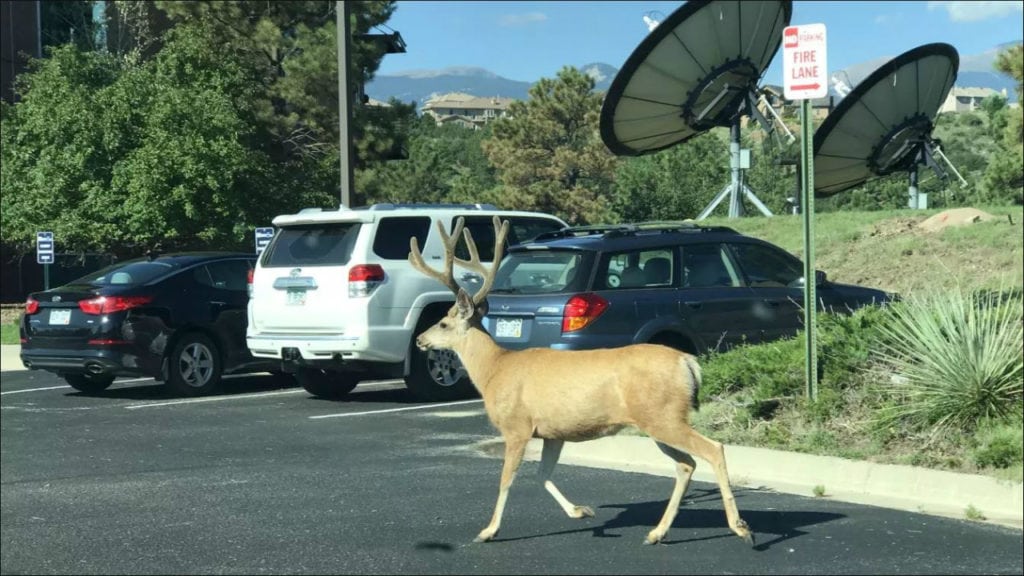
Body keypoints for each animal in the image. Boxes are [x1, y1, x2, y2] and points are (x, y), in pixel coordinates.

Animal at [405, 214, 753, 541]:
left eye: (444, 323)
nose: (420, 339)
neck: (494, 369)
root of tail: (688, 361)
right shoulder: (552, 431)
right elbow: (542, 474)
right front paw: (581, 511)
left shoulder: (517, 426)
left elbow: (506, 479)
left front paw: (489, 530)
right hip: (657, 420)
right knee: (685, 464)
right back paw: (657, 533)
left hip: (664, 415)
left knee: (713, 449)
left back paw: (739, 527)